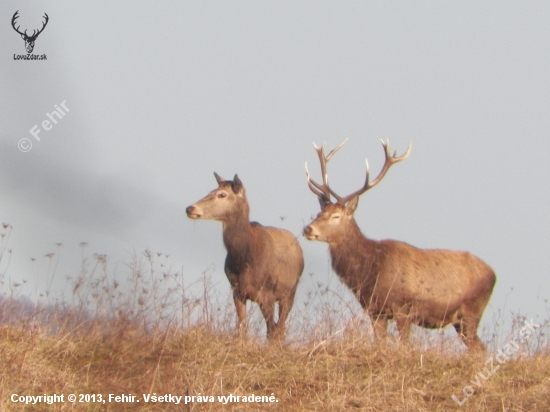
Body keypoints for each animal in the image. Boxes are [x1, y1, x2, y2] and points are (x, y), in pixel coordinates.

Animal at [188, 173, 304, 342]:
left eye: (222, 194)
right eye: (211, 190)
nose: (190, 208)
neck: (245, 261)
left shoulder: (266, 295)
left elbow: (271, 331)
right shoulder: (237, 292)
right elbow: (241, 328)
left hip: (290, 293)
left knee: (279, 328)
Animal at [304, 140, 498, 350]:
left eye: (336, 216)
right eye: (319, 213)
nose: (308, 229)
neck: (371, 271)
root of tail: (494, 274)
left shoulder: (403, 308)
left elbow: (404, 346)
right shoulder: (375, 311)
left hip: (471, 312)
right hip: (461, 321)